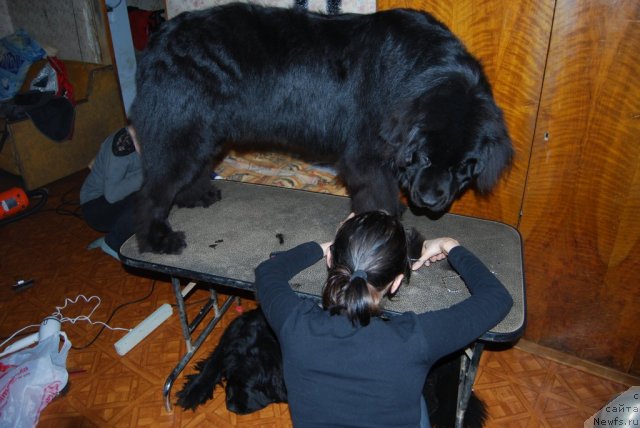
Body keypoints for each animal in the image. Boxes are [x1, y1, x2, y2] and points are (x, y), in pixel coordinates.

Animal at [120, 179, 524, 426]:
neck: (264, 346)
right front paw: (193, 389)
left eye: (251, 385)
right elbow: (213, 357)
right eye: (233, 381)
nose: (232, 405)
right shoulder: (237, 331)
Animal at [130, 2, 510, 254]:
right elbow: (380, 195)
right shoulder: (366, 157)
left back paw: (195, 196)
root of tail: (159, 38)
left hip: (206, 132)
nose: (430, 201)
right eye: (425, 158)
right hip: (181, 130)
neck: (418, 74)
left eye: (462, 167)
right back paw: (156, 239)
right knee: (151, 193)